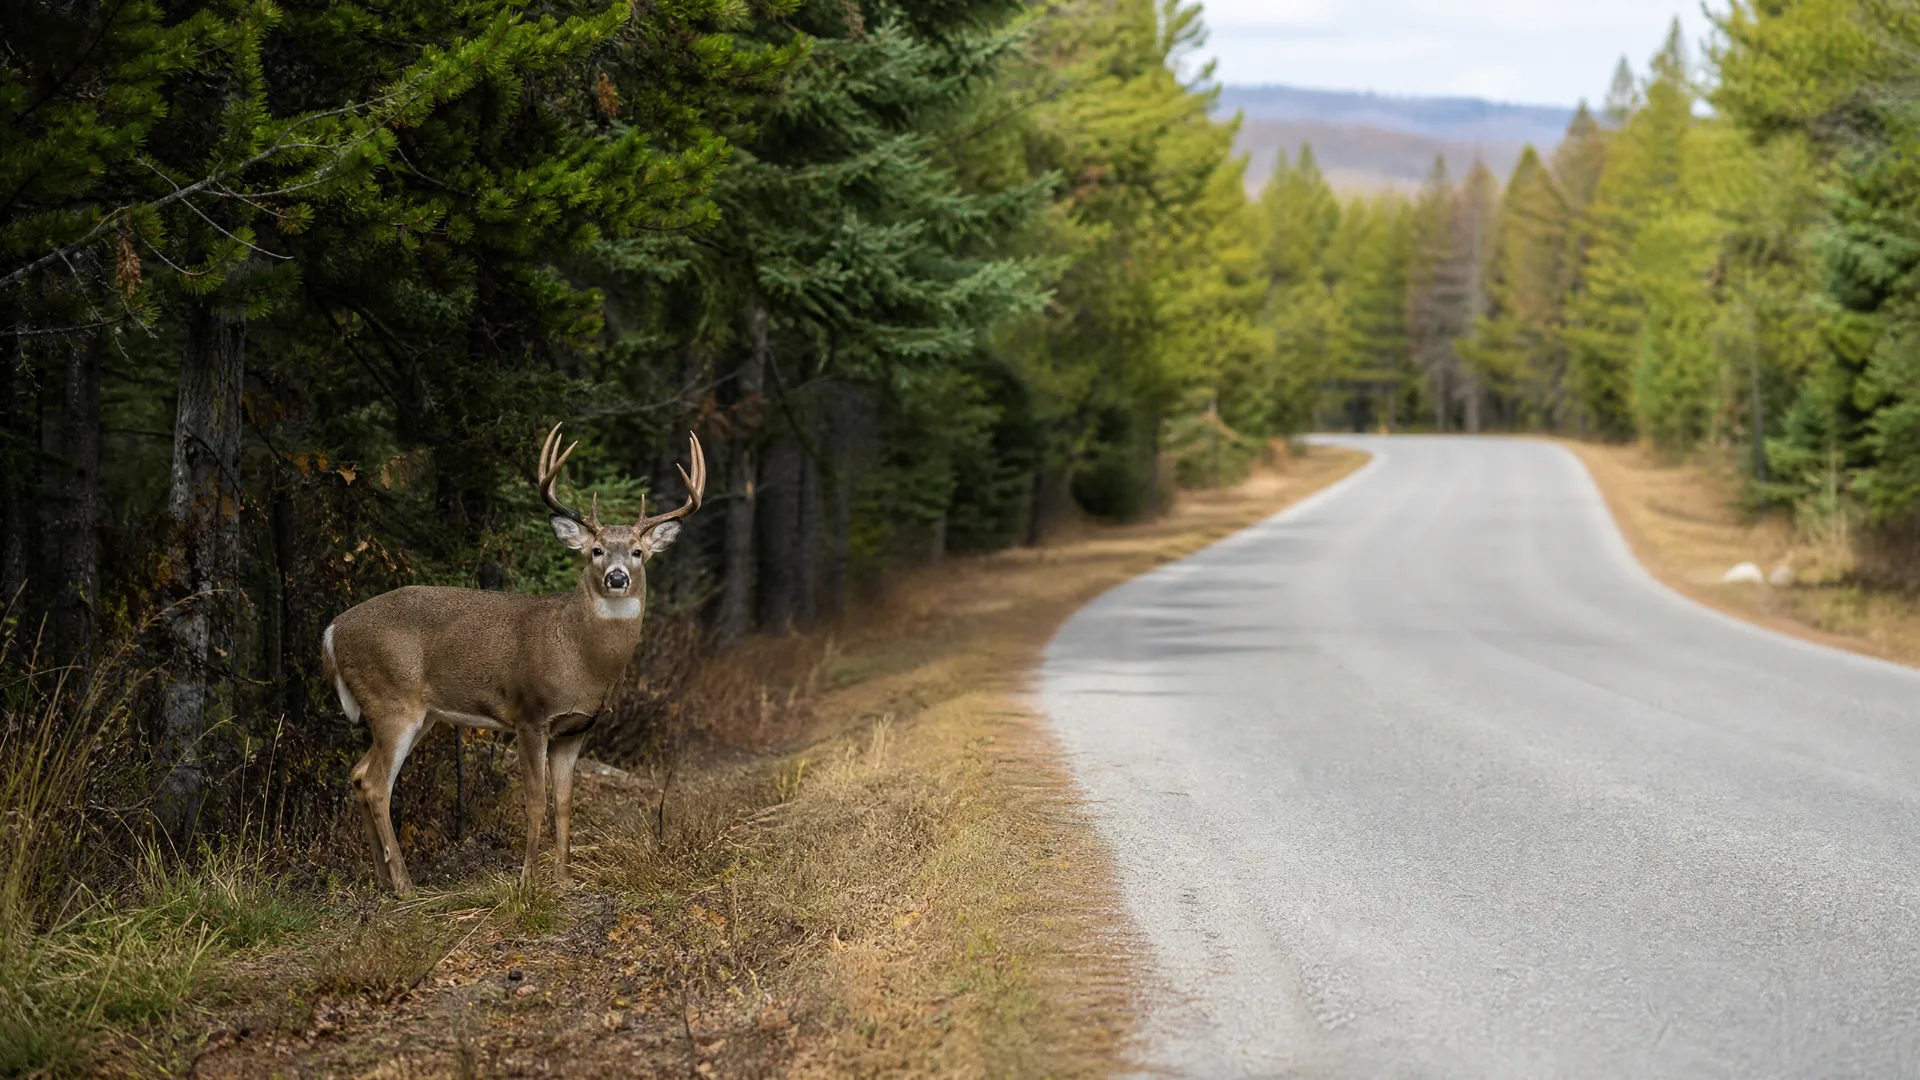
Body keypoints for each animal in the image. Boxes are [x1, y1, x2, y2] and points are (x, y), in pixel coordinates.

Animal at [321, 423, 705, 895]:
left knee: (359, 775)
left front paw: (564, 880)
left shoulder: (575, 728)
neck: (580, 656)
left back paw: (382, 879)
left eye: (637, 551)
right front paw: (527, 880)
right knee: (376, 784)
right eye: (595, 551)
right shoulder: (530, 714)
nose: (617, 578)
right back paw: (406, 885)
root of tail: (333, 630)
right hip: (392, 699)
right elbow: (536, 801)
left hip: (418, 714)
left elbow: (565, 802)